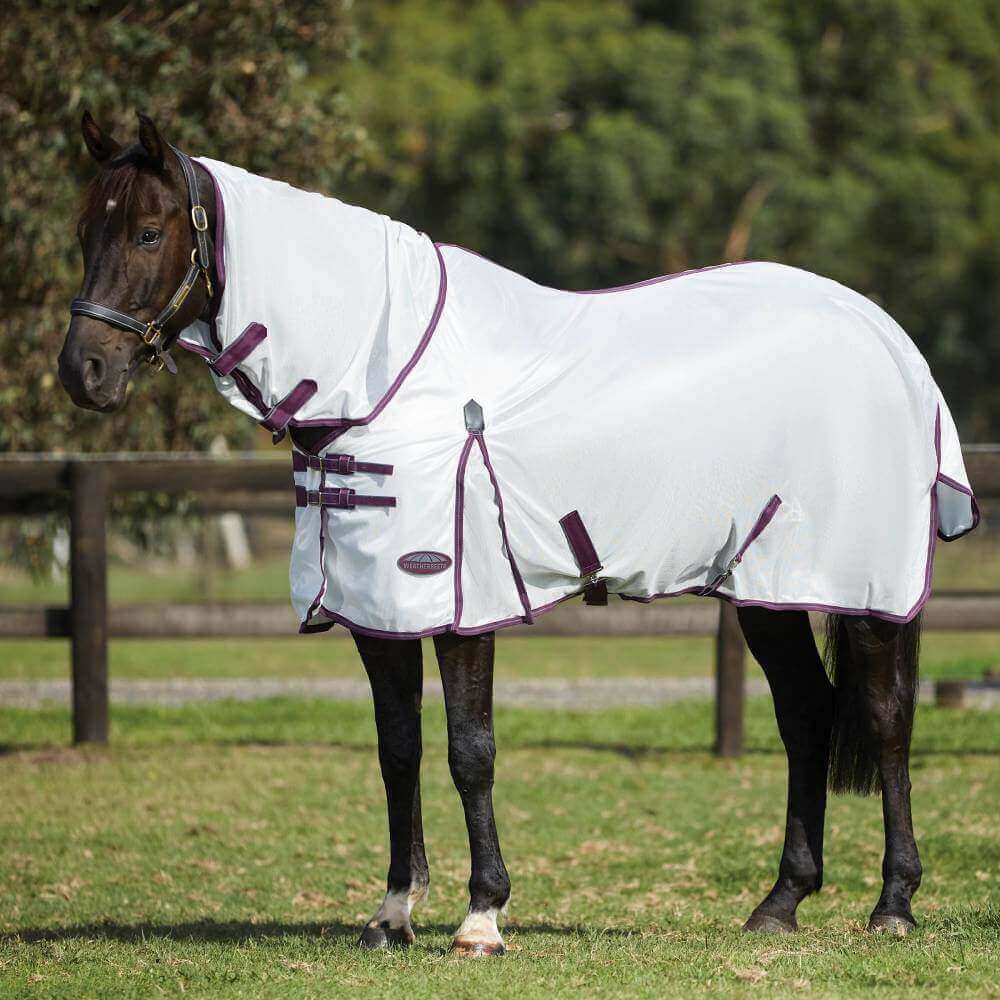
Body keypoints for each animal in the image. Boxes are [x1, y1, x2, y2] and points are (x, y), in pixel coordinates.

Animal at [59, 112, 979, 954]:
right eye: (82, 231)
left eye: (147, 231)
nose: (83, 373)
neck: (388, 374)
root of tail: (888, 339)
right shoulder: (376, 608)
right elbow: (397, 749)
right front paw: (392, 915)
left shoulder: (461, 602)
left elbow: (470, 750)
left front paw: (482, 917)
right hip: (765, 587)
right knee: (807, 715)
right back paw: (779, 904)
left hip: (860, 587)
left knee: (886, 719)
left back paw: (893, 905)